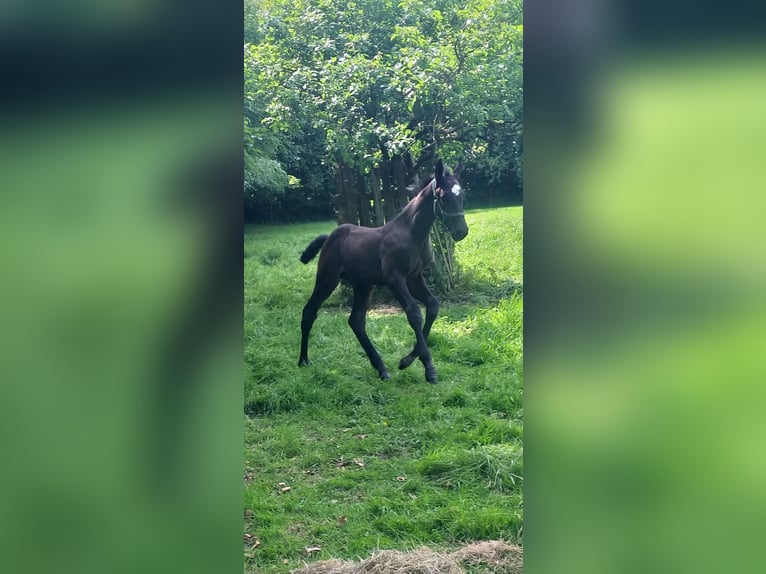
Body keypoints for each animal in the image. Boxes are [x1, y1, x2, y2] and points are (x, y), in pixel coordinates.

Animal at [298, 159, 468, 384]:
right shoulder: (395, 279)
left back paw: (381, 368)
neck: (412, 234)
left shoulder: (415, 278)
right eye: (443, 196)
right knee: (309, 311)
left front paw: (406, 361)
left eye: (462, 195)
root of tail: (329, 238)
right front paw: (428, 368)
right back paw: (303, 361)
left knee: (356, 321)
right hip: (327, 279)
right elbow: (414, 313)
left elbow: (432, 306)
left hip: (363, 286)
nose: (461, 232)